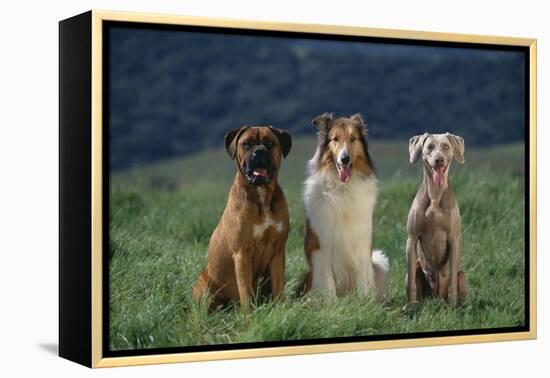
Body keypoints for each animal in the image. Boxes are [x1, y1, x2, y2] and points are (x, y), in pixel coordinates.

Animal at [298, 113, 388, 300]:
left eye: (353, 138)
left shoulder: (362, 245)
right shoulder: (322, 247)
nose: (344, 159)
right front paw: (331, 304)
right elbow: (328, 285)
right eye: (335, 139)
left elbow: (364, 282)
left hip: (380, 262)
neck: (343, 188)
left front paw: (364, 302)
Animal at [408, 133, 468, 310]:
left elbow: (452, 284)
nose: (439, 159)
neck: (435, 194)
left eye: (446, 147)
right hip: (417, 269)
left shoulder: (454, 239)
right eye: (429, 147)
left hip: (462, 276)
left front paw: (452, 307)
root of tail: (436, 298)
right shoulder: (411, 238)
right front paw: (410, 306)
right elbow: (411, 284)